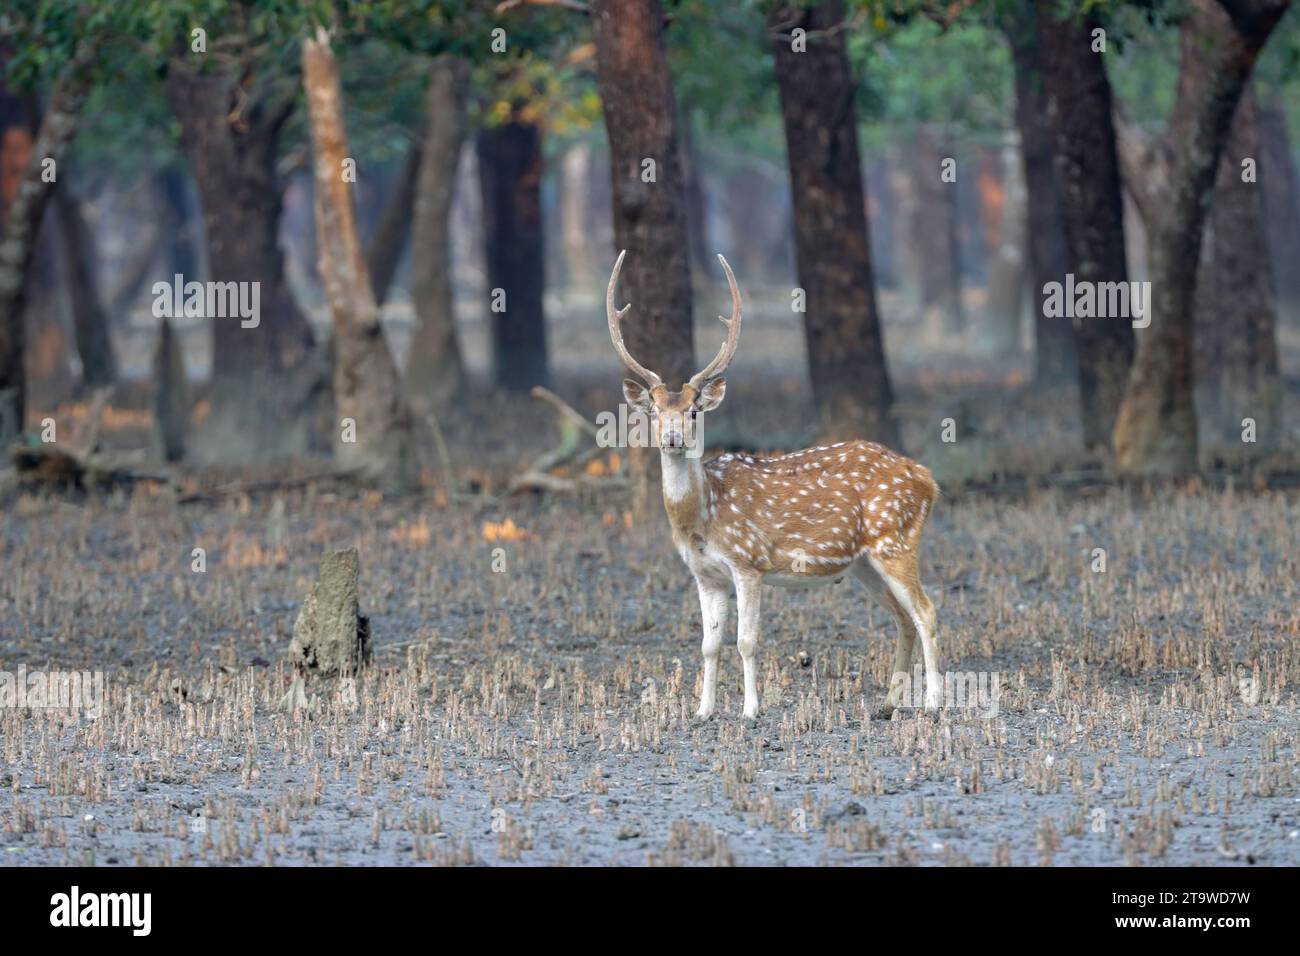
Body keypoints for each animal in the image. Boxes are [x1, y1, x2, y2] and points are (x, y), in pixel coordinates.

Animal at [607, 250, 942, 720]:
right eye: (654, 411)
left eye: (694, 411)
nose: (672, 438)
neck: (704, 516)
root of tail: (927, 479)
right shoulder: (705, 574)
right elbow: (708, 645)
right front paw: (703, 711)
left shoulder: (749, 561)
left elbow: (747, 641)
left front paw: (750, 710)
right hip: (864, 563)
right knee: (902, 616)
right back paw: (887, 703)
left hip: (894, 538)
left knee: (927, 612)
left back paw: (932, 703)